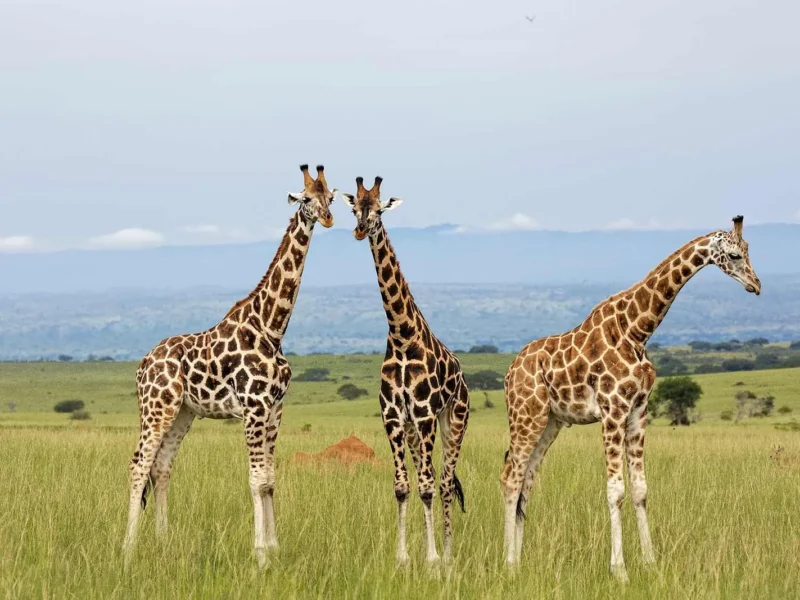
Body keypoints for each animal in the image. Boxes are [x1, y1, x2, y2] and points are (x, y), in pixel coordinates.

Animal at [122, 164, 337, 569]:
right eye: (305, 198)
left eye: (331, 197)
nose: (329, 218)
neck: (271, 327)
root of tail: (143, 364)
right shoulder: (254, 408)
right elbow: (256, 481)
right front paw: (261, 556)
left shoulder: (275, 409)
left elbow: (270, 479)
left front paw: (275, 549)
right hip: (156, 408)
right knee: (139, 465)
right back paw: (127, 549)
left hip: (183, 412)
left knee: (161, 467)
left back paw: (163, 542)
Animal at [341, 176, 470, 565]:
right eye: (355, 208)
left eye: (379, 209)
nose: (359, 229)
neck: (401, 336)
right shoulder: (394, 416)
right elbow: (402, 486)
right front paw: (402, 558)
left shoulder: (426, 414)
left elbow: (427, 487)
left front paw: (432, 559)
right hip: (415, 431)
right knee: (429, 478)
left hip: (453, 420)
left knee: (444, 482)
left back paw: (448, 552)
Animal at [501, 216, 761, 580]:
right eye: (735, 255)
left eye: (749, 251)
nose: (756, 285)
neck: (637, 330)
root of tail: (510, 372)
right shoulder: (613, 410)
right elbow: (616, 492)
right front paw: (620, 570)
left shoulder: (639, 411)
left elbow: (640, 490)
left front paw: (650, 562)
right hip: (526, 415)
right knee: (511, 478)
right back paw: (509, 564)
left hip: (550, 423)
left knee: (526, 482)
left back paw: (520, 561)